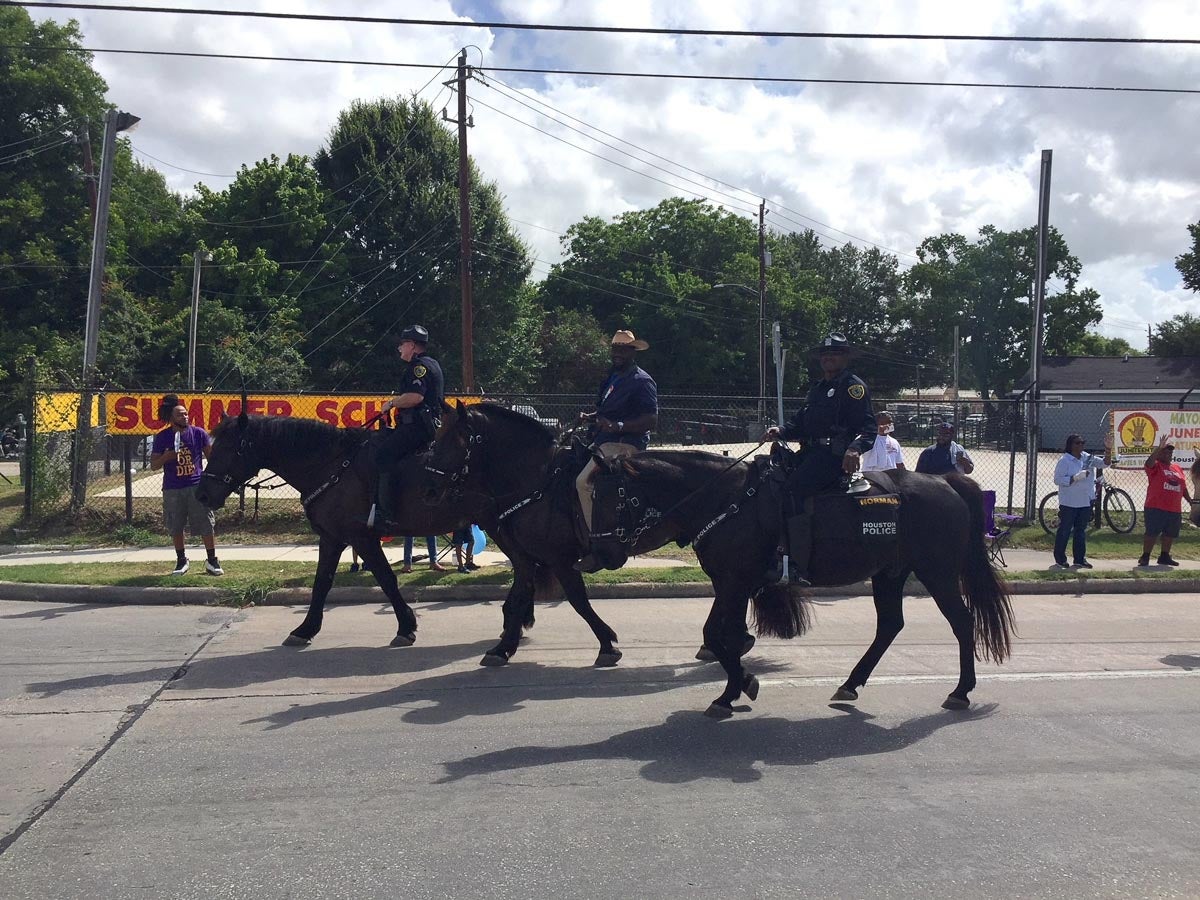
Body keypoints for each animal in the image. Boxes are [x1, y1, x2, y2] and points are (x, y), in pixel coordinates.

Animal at [427, 405, 681, 667]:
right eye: (437, 437)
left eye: (455, 439)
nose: (430, 488)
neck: (538, 483)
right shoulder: (524, 558)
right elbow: (520, 596)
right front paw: (504, 647)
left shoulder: (560, 559)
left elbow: (578, 600)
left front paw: (607, 644)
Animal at [585, 453, 1017, 724]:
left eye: (612, 498)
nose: (598, 553)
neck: (725, 500)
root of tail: (945, 481)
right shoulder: (729, 582)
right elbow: (722, 635)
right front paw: (741, 683)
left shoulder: (734, 582)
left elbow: (721, 636)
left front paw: (732, 691)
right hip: (890, 573)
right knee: (890, 626)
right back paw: (850, 684)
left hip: (937, 572)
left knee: (962, 622)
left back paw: (961, 691)